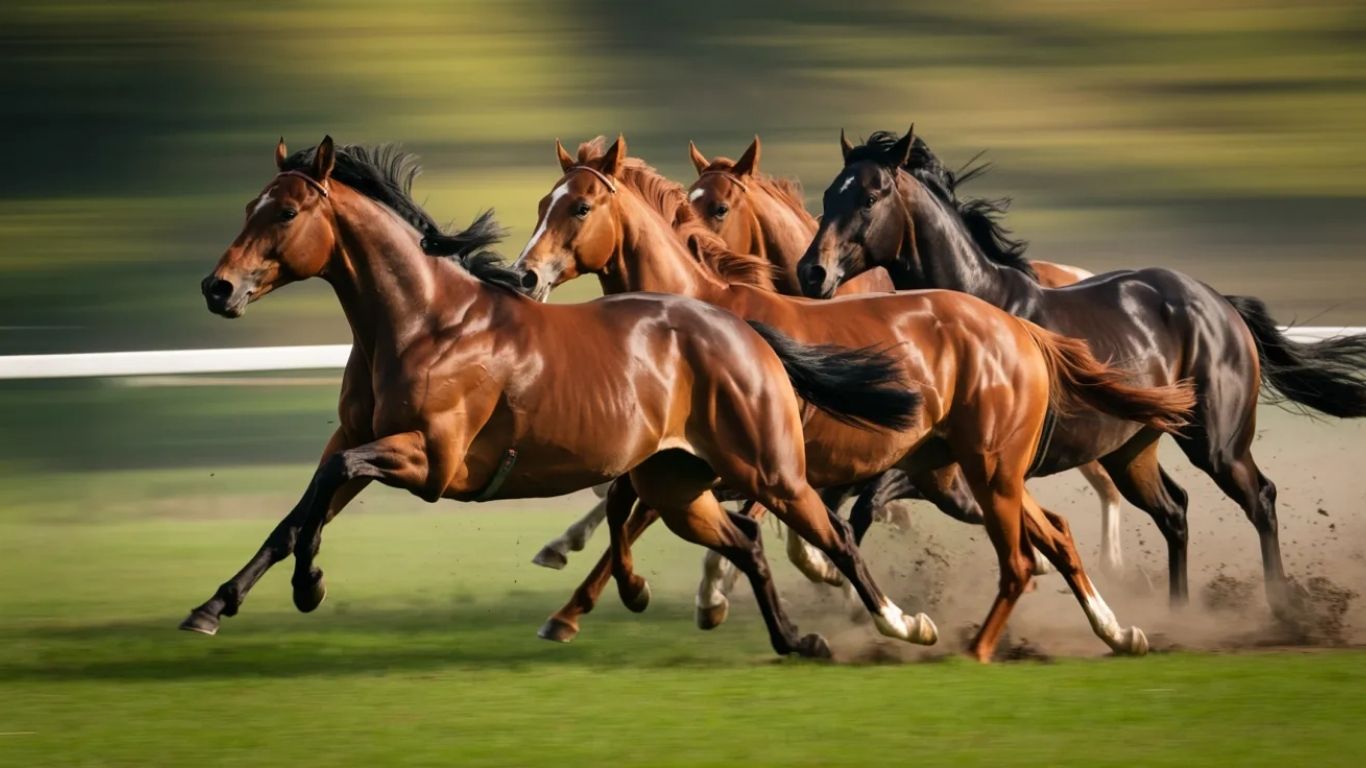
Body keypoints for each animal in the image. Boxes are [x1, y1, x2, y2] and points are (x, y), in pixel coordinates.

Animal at [182, 136, 936, 660]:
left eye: (284, 210)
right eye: (250, 206)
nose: (217, 288)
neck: (424, 320)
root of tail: (742, 326)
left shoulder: (430, 460)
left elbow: (326, 491)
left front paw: (308, 585)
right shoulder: (359, 438)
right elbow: (298, 512)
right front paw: (213, 606)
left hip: (769, 470)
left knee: (835, 536)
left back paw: (906, 622)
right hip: (678, 483)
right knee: (745, 542)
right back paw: (793, 639)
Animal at [797, 126, 1366, 616]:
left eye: (869, 198)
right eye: (828, 195)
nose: (812, 271)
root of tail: (1221, 304)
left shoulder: (962, 465)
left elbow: (866, 505)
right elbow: (850, 501)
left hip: (1216, 444)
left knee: (1260, 498)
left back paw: (1283, 609)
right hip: (1129, 449)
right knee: (1174, 510)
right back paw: (1178, 615)